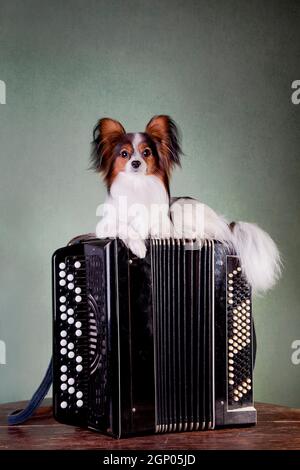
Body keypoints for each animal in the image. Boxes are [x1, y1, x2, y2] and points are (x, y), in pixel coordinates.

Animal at [91, 114, 282, 294]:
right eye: (124, 154)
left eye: (146, 153)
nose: (136, 163)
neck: (137, 186)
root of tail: (224, 223)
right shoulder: (103, 227)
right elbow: (124, 227)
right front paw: (138, 246)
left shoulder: (165, 229)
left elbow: (159, 232)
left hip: (181, 208)